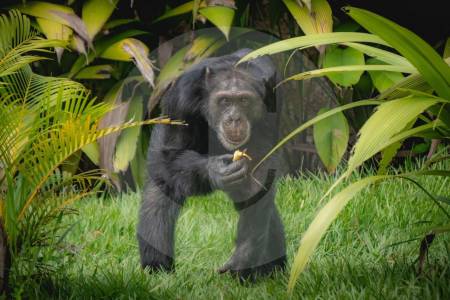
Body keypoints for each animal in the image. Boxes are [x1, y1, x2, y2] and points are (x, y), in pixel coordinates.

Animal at [135, 48, 286, 280]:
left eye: (244, 100)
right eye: (224, 101)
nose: (234, 118)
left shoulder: (271, 99)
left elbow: (259, 176)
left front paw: (243, 256)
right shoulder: (181, 97)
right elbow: (173, 153)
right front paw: (215, 170)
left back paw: (271, 270)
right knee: (159, 193)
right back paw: (157, 268)